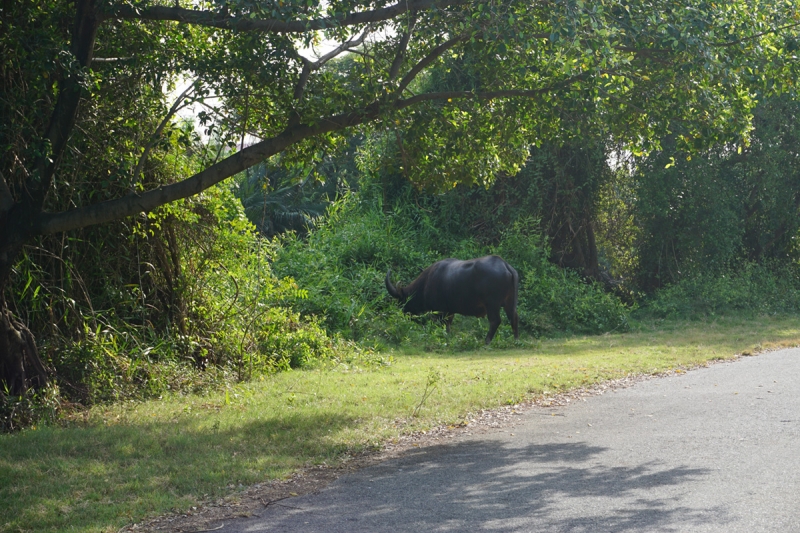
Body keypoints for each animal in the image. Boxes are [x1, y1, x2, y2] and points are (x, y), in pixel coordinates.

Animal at [386, 255, 520, 344]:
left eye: (402, 301)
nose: (403, 314)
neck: (425, 283)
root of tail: (505, 265)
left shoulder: (439, 311)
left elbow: (442, 325)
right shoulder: (450, 311)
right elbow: (448, 326)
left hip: (492, 304)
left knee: (495, 321)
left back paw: (486, 341)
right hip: (510, 302)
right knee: (513, 317)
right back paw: (516, 340)